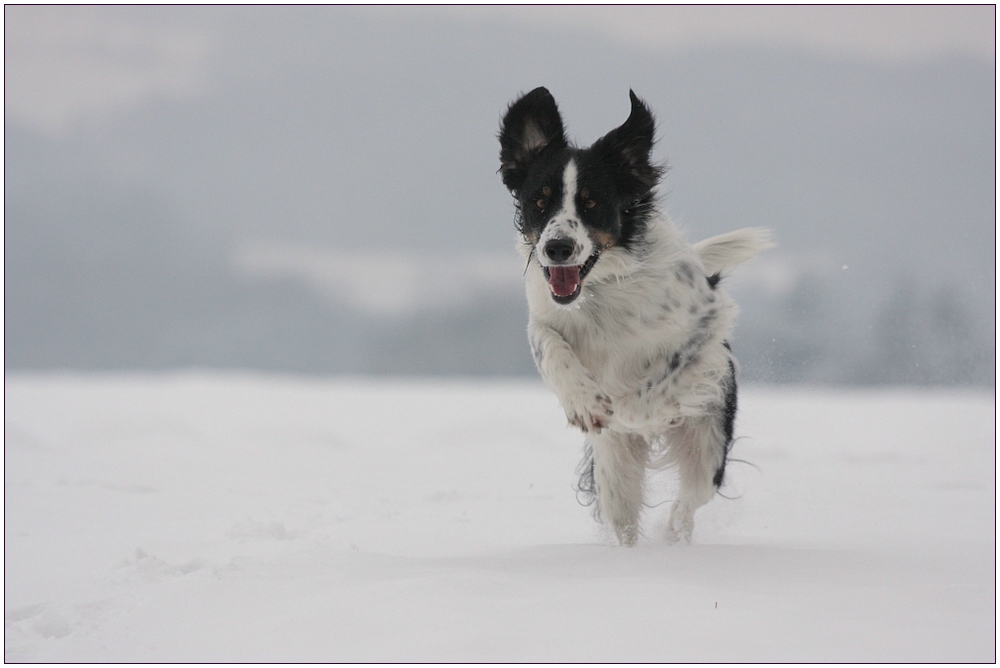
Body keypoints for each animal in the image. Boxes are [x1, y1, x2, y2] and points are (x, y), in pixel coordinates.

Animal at [500, 88, 772, 544]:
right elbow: (549, 345)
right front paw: (585, 402)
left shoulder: (705, 321)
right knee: (624, 522)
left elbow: (658, 383)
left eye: (592, 204)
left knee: (687, 503)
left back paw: (675, 538)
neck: (600, 292)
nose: (557, 248)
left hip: (707, 447)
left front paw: (633, 411)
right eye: (539, 201)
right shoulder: (544, 317)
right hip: (613, 475)